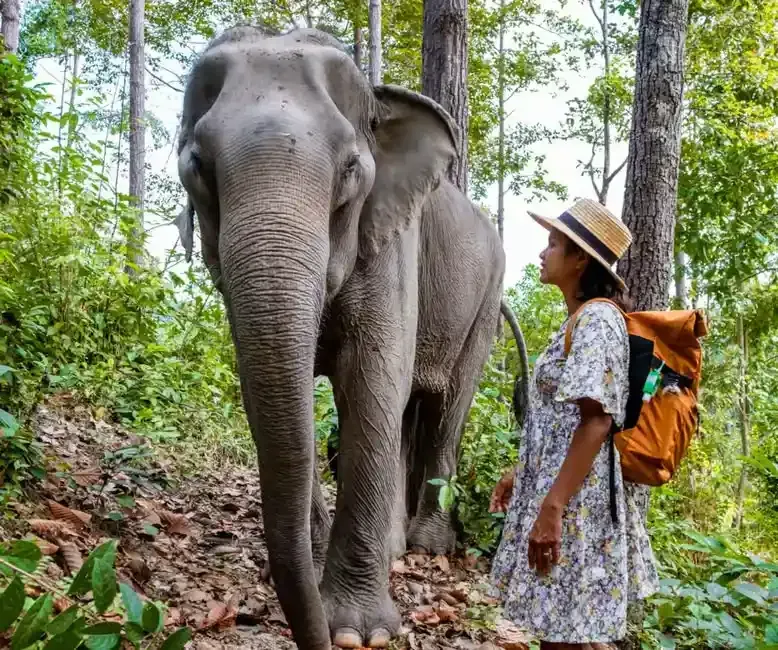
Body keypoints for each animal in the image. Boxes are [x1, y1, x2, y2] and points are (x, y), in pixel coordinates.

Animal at [175, 24, 529, 650]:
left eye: (349, 171)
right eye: (197, 166)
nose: (312, 635)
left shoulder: (392, 242)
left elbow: (372, 380)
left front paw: (359, 632)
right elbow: (266, 386)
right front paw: (316, 576)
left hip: (485, 303)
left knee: (447, 408)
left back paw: (425, 547)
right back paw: (396, 548)